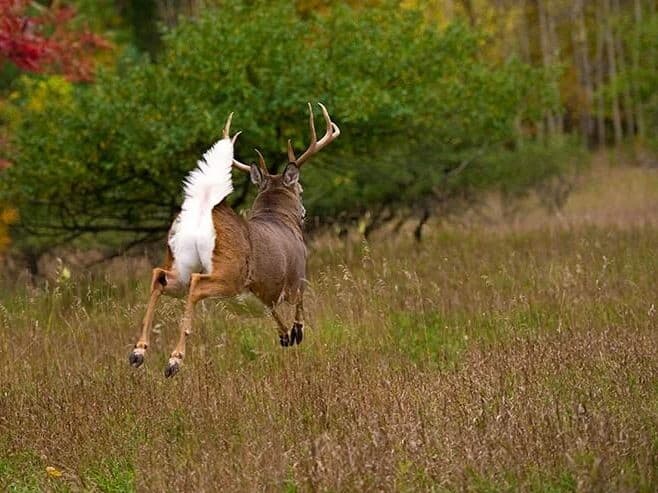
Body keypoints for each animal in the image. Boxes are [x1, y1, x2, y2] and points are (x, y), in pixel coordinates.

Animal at [127, 102, 338, 374]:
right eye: (300, 189)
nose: (303, 212)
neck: (277, 217)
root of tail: (202, 217)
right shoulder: (297, 276)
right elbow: (298, 304)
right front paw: (297, 332)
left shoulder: (262, 289)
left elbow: (271, 309)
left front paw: (285, 336)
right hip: (230, 270)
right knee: (196, 284)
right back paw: (174, 359)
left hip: (181, 260)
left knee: (159, 277)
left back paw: (138, 352)